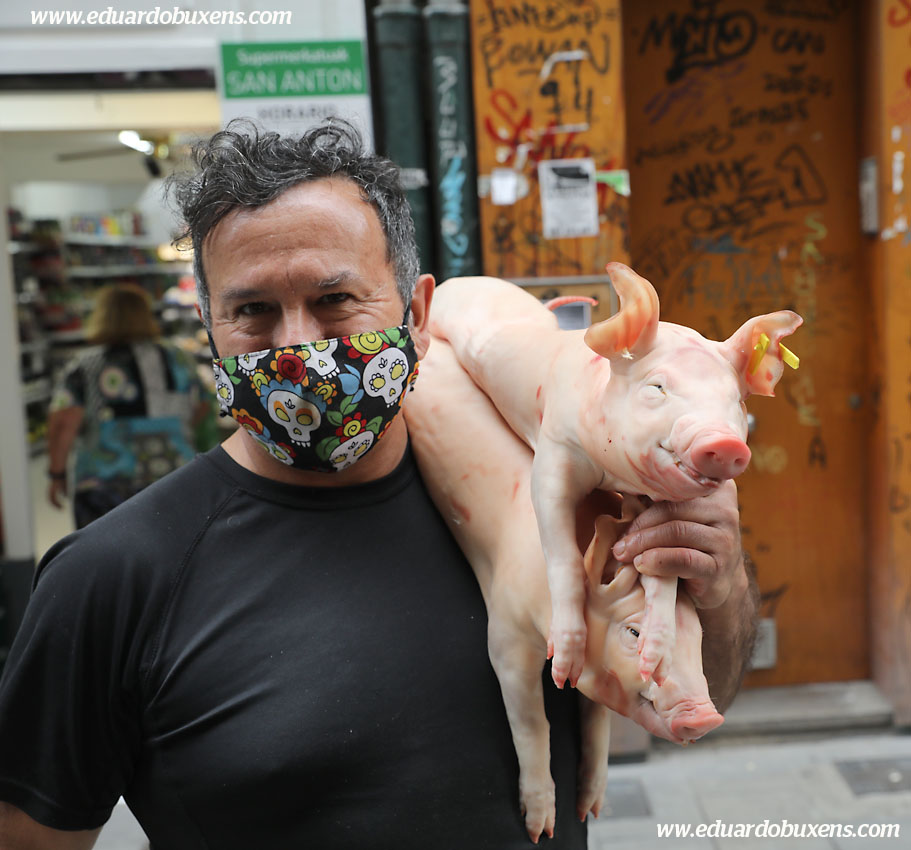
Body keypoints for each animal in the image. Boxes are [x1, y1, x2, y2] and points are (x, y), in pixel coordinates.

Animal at [406, 337, 725, 843]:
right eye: (633, 633)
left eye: (695, 635)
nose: (707, 715)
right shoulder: (506, 633)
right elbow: (532, 721)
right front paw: (542, 829)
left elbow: (597, 722)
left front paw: (588, 810)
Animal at [429, 263, 802, 689]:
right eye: (657, 387)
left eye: (735, 401)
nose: (725, 443)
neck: (614, 476)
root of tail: (476, 280)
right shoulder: (554, 449)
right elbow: (563, 555)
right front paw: (563, 670)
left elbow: (662, 577)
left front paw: (653, 663)